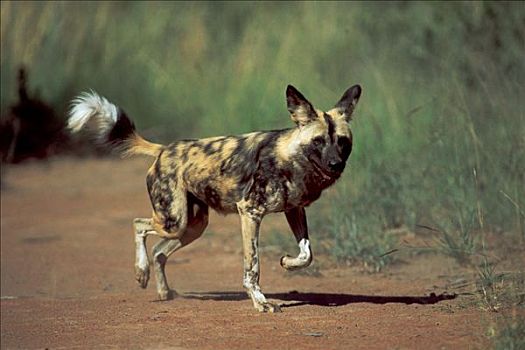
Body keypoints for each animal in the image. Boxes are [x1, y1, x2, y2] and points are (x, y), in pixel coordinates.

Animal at [67, 84, 360, 312]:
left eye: (342, 142)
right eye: (318, 141)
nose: (336, 164)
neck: (291, 160)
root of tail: (165, 149)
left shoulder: (294, 210)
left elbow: (306, 254)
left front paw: (287, 263)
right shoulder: (250, 213)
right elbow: (252, 267)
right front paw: (261, 302)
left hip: (192, 226)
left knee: (159, 251)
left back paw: (163, 292)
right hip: (173, 220)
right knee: (138, 224)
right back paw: (141, 272)